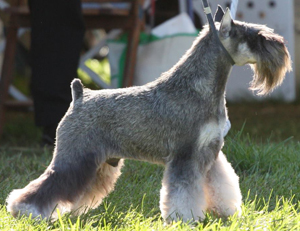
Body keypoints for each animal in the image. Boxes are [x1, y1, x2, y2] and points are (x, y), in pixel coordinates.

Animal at [6, 8, 290, 223]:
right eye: (256, 37)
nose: (283, 46)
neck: (199, 86)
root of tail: (79, 96)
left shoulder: (212, 152)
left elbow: (222, 184)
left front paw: (225, 212)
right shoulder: (185, 155)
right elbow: (184, 192)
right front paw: (185, 219)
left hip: (99, 163)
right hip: (75, 157)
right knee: (49, 183)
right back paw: (25, 211)